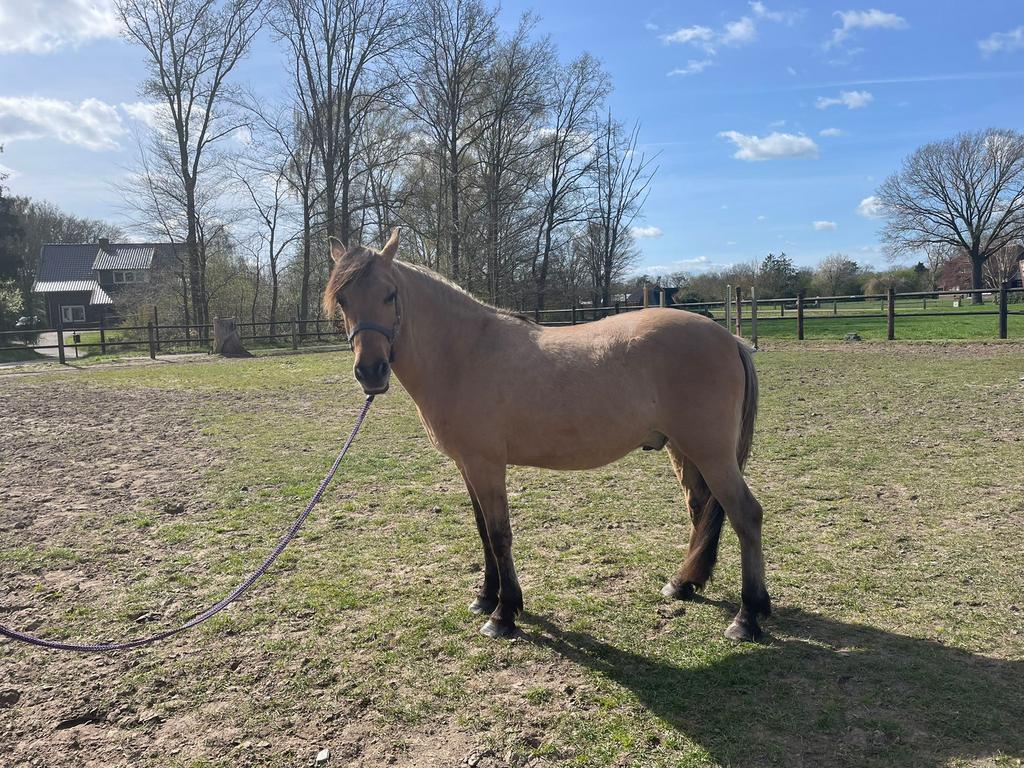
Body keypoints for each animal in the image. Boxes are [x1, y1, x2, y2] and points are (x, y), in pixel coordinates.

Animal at [324, 230, 770, 642]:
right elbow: (482, 530)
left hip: (711, 453)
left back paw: (747, 617)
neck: (464, 354)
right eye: (343, 300)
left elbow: (499, 534)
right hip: (684, 451)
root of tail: (729, 339)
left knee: (745, 514)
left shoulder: (486, 465)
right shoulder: (467, 466)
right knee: (701, 509)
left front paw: (503, 614)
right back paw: (684, 583)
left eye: (390, 295)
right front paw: (486, 597)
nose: (371, 372)